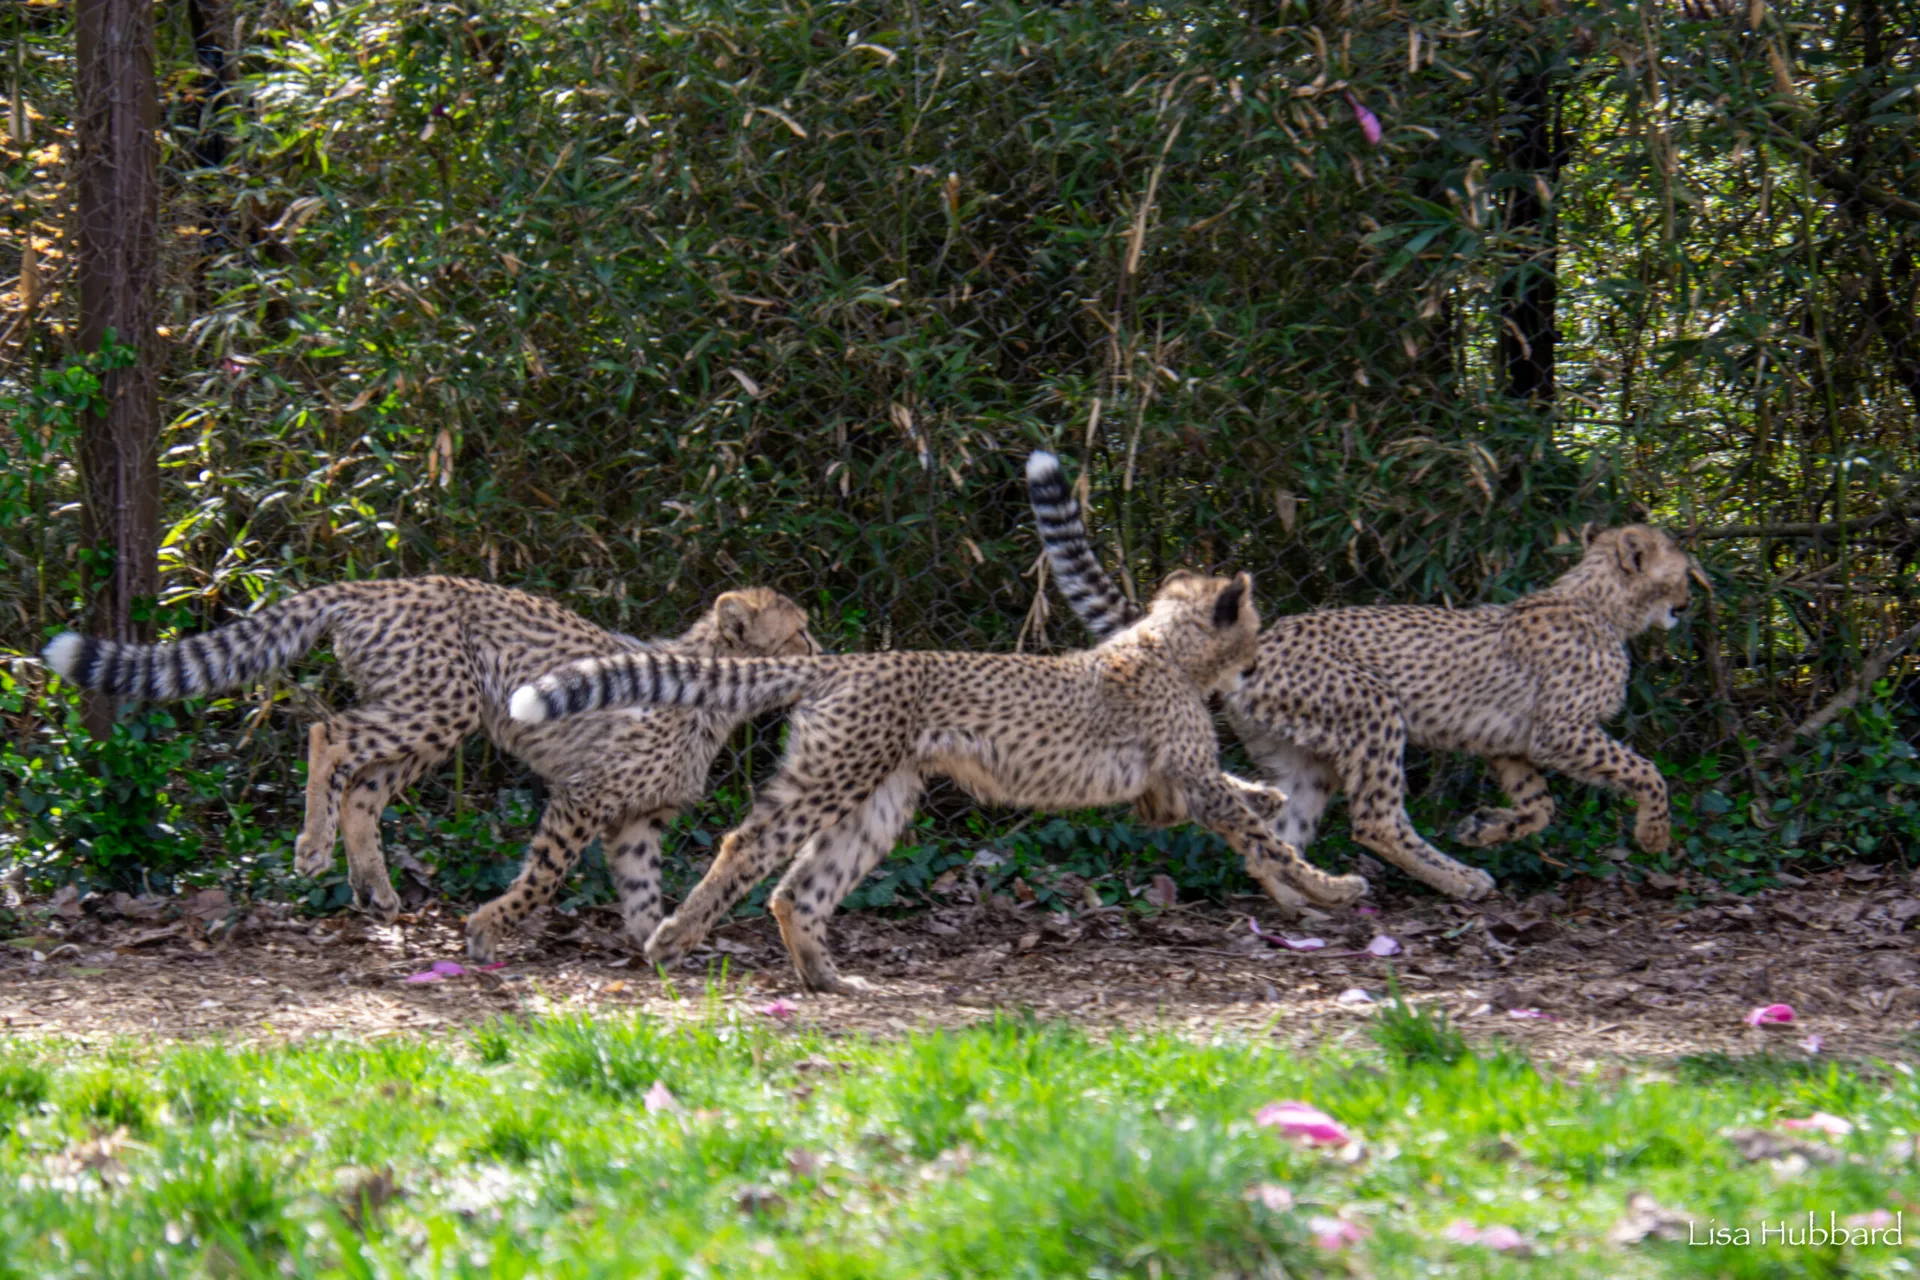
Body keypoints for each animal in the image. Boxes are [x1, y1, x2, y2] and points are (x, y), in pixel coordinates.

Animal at [42, 577, 816, 956]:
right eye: (799, 632)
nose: (825, 649)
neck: (719, 694)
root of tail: (381, 581)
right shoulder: (584, 796)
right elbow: (544, 877)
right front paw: (488, 929)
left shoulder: (636, 821)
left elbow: (641, 889)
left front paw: (656, 941)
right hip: (441, 704)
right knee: (329, 732)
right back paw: (312, 847)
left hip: (436, 719)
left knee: (362, 789)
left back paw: (376, 889)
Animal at [509, 569, 1368, 991]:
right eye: (1251, 628)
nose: (1258, 661)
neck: (1166, 647)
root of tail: (839, 661)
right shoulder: (1186, 777)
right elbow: (1266, 838)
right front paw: (1330, 887)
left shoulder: (1166, 789)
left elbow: (1246, 806)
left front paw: (1273, 800)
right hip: (833, 778)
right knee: (745, 848)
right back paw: (672, 937)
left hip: (880, 799)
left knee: (801, 888)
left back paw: (830, 981)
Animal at [1026, 449, 1696, 903]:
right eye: (1684, 570)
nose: (1691, 599)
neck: (1599, 602)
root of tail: (1261, 637)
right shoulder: (1562, 731)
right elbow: (1647, 772)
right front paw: (1654, 834)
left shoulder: (1511, 742)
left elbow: (1541, 807)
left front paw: (1485, 826)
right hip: (1371, 707)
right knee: (1377, 821)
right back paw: (1456, 880)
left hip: (1305, 756)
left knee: (1276, 836)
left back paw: (1308, 897)